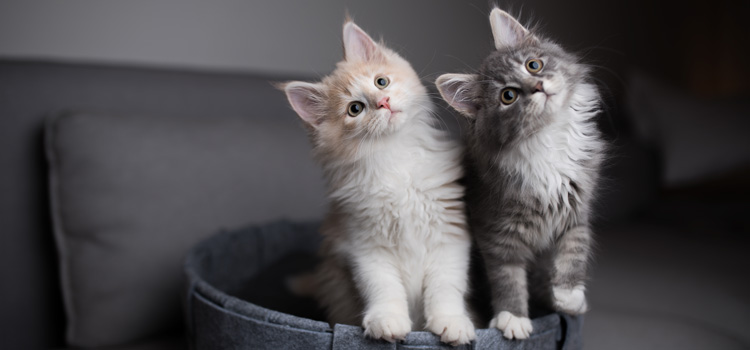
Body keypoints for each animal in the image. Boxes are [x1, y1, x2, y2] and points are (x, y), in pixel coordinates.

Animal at [440, 9, 604, 340]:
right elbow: (507, 277)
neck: (546, 139)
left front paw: (569, 295)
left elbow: (574, 249)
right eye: (508, 96)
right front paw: (512, 317)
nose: (538, 86)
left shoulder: (576, 209)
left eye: (533, 65)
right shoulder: (496, 232)